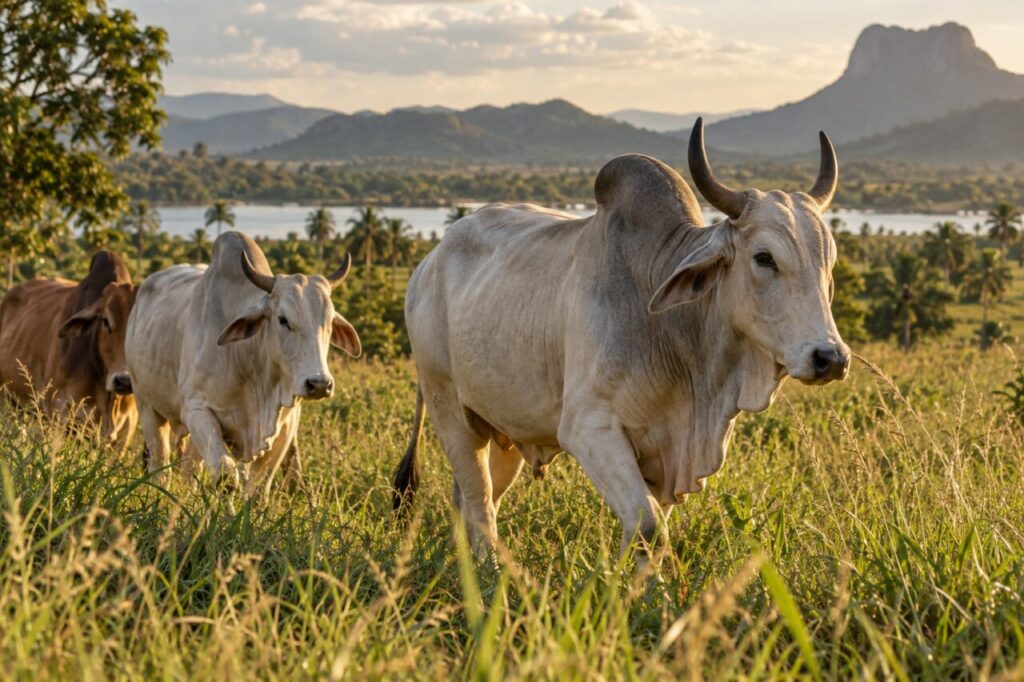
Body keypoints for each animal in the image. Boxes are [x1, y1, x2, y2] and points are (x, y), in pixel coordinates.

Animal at [124, 231, 361, 498]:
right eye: (283, 319)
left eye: (330, 321)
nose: (319, 384)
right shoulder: (197, 409)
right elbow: (226, 479)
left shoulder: (287, 424)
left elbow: (258, 490)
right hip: (146, 404)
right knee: (160, 464)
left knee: (189, 467)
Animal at [392, 119, 851, 559]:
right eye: (764, 257)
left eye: (829, 261)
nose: (830, 358)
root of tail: (427, 264)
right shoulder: (588, 428)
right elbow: (648, 528)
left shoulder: (666, 459)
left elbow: (651, 531)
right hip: (447, 404)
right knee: (479, 500)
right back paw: (491, 571)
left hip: (503, 427)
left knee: (472, 499)